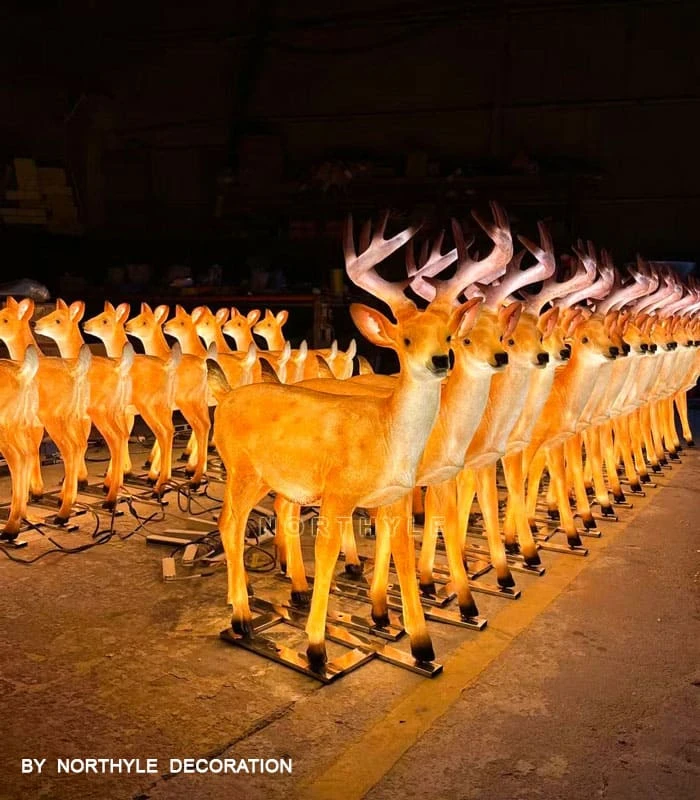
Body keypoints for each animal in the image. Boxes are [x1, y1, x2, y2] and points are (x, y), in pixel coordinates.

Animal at [0, 297, 92, 524]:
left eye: (5, 319)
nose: (36, 323)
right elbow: (32, 452)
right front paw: (32, 493)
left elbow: (30, 453)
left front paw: (31, 495)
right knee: (81, 445)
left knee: (75, 448)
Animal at [206, 212, 481, 670]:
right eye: (406, 339)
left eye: (448, 336)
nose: (441, 361)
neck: (385, 432)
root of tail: (225, 397)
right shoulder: (336, 494)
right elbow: (328, 553)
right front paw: (316, 650)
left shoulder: (395, 497)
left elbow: (404, 553)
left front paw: (422, 647)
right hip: (242, 470)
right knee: (230, 524)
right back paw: (242, 618)